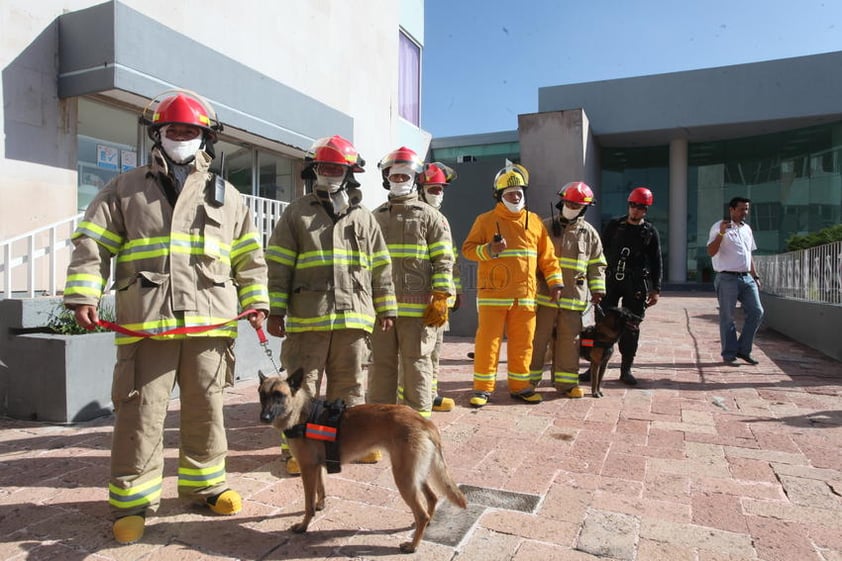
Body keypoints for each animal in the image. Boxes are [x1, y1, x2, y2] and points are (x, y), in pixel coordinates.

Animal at [256, 368, 466, 552]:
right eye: (262, 395)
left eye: (279, 395)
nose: (264, 417)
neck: (301, 414)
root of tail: (423, 421)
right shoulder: (317, 467)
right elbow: (320, 489)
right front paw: (320, 505)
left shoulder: (307, 468)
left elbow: (308, 504)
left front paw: (303, 526)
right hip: (414, 474)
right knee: (432, 498)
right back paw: (426, 524)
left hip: (404, 477)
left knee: (421, 512)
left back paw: (413, 545)